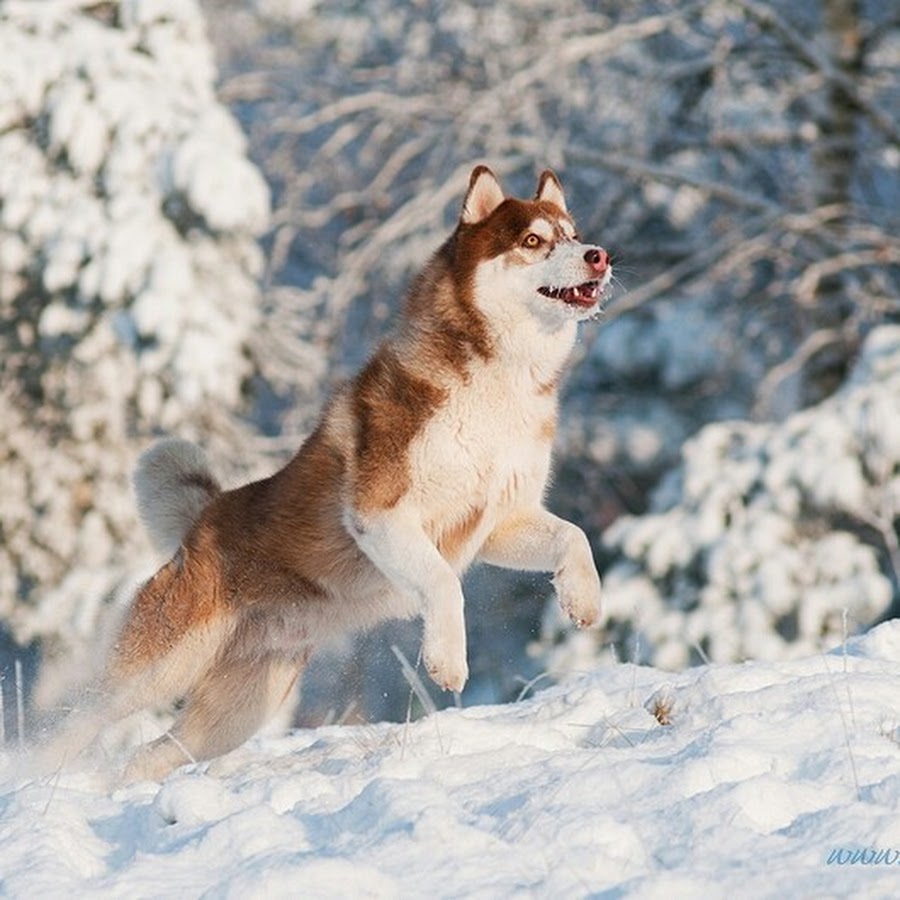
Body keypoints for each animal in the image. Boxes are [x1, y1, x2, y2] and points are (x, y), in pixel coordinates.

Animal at [38, 167, 608, 780]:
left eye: (573, 235)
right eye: (533, 240)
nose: (599, 256)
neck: (500, 383)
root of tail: (202, 520)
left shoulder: (499, 522)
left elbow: (574, 538)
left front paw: (583, 600)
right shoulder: (380, 514)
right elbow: (442, 583)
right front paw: (447, 663)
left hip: (239, 709)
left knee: (151, 754)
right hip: (158, 668)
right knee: (78, 722)